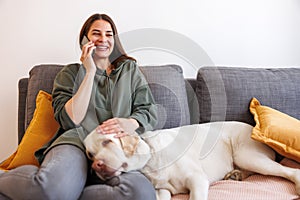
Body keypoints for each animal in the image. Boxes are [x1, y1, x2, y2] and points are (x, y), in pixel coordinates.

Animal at [82, 121, 300, 200]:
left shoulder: (197, 180)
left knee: (288, 171)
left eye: (108, 141)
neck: (151, 158)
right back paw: (235, 175)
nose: (95, 165)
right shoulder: (162, 190)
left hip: (247, 155)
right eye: (90, 154)